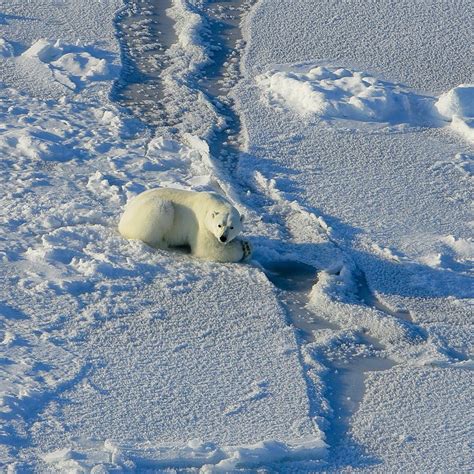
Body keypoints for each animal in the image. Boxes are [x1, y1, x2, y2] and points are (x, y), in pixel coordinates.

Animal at [118, 188, 252, 262]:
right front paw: (242, 248)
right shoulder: (201, 225)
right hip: (150, 211)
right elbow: (207, 248)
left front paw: (246, 246)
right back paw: (163, 243)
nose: (223, 238)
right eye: (219, 225)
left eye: (232, 227)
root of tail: (122, 220)